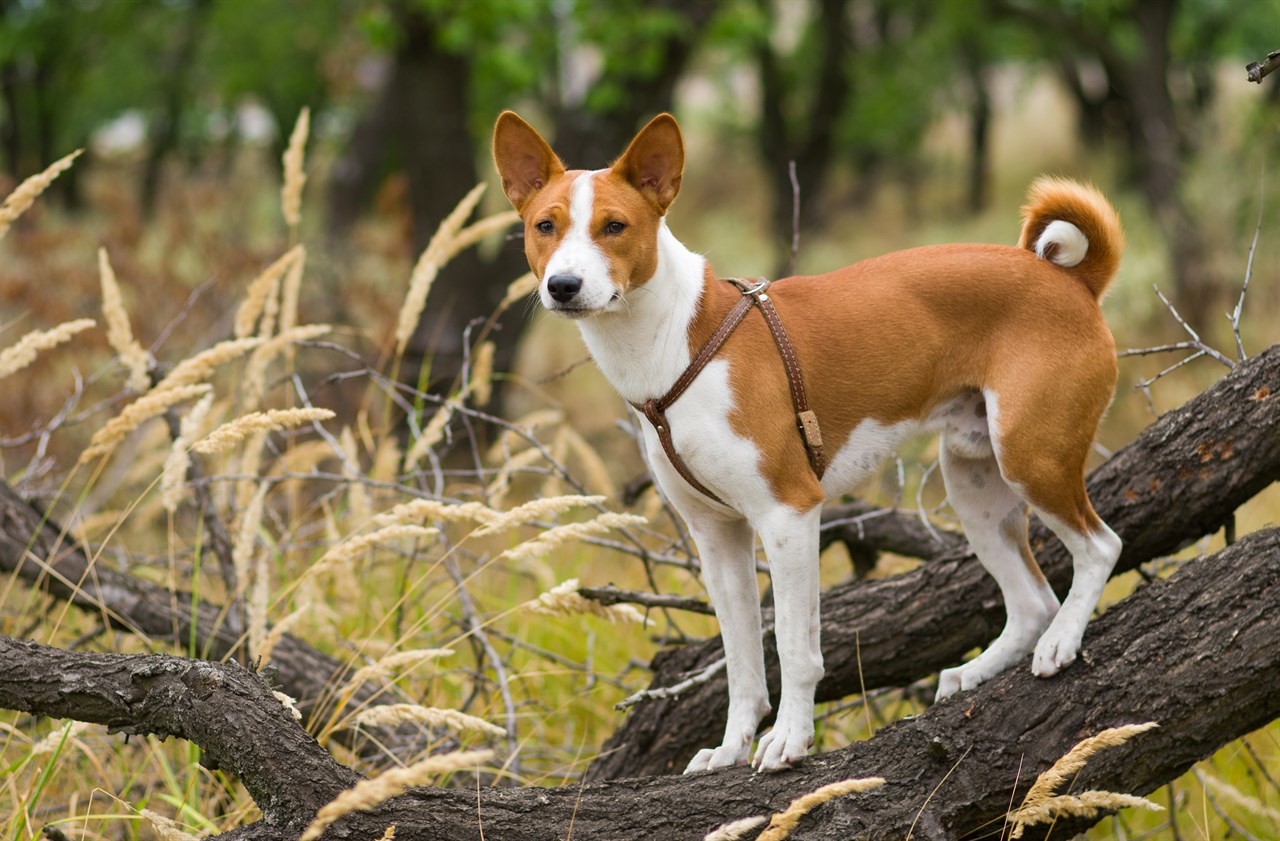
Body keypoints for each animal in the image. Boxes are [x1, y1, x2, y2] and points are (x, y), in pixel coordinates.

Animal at [494, 111, 1126, 773]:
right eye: (544, 226)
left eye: (614, 227)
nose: (564, 285)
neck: (673, 344)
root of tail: (1072, 281)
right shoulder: (718, 537)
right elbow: (742, 663)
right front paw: (730, 748)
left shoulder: (789, 512)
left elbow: (795, 650)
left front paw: (790, 741)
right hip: (975, 483)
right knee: (1031, 601)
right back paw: (976, 671)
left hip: (1032, 457)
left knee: (1100, 547)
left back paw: (1063, 642)